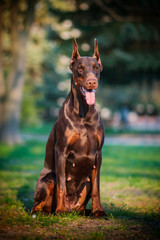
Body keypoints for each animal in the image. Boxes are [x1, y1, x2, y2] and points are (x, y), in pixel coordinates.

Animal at [32, 37, 107, 218]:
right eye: (80, 68)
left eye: (96, 68)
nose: (92, 82)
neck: (84, 113)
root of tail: (72, 208)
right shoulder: (61, 150)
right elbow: (61, 186)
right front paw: (59, 210)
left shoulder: (98, 154)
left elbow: (97, 187)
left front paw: (99, 211)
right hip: (47, 179)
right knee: (36, 206)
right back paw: (51, 212)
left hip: (86, 183)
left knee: (85, 196)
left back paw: (86, 211)